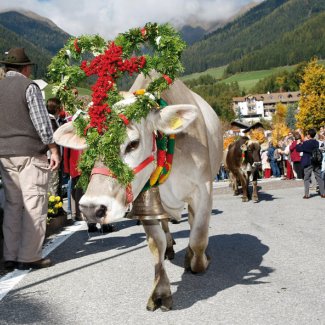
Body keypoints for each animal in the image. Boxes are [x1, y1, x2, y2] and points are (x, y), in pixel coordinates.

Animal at [53, 74, 223, 310]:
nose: (91, 209)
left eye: (133, 144)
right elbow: (156, 243)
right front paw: (160, 291)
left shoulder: (203, 189)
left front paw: (196, 261)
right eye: (92, 145)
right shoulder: (145, 200)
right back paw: (170, 248)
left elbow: (198, 237)